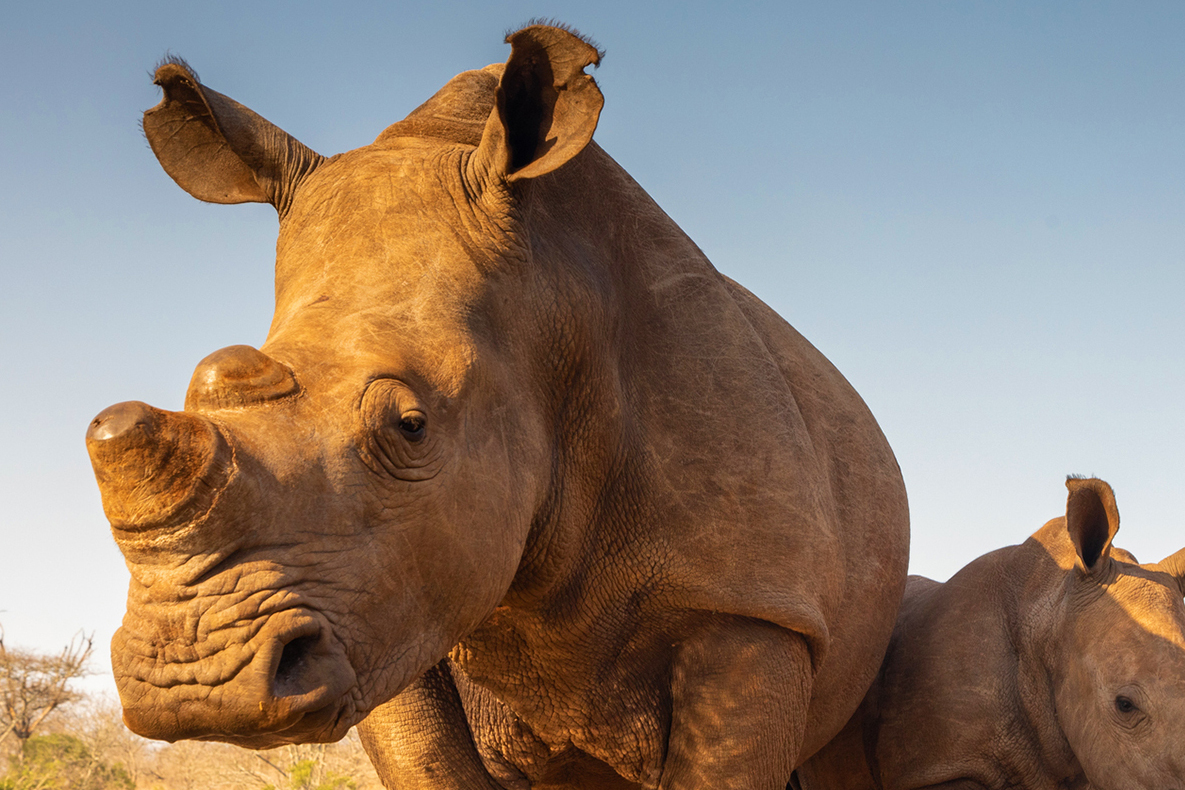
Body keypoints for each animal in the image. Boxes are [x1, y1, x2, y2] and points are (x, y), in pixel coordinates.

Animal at [87, 24, 910, 790]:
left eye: (411, 427)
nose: (193, 680)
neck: (556, 299)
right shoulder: (383, 608)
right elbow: (427, 761)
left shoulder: (753, 605)